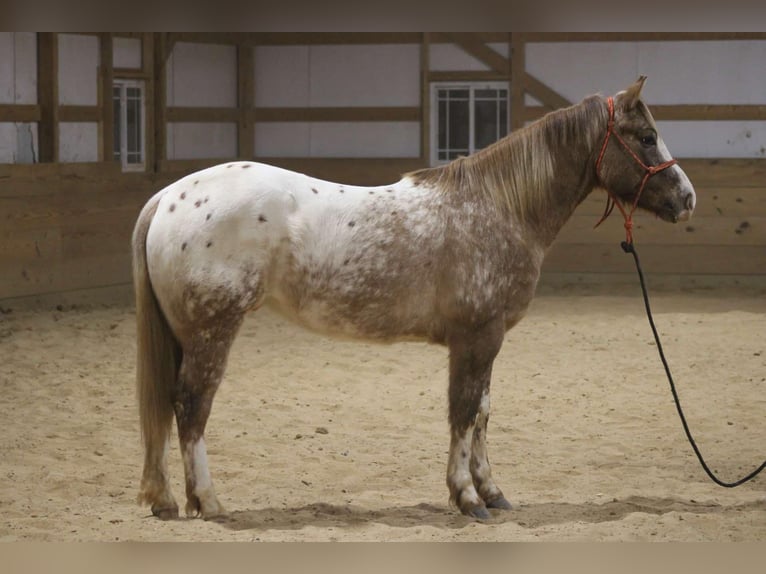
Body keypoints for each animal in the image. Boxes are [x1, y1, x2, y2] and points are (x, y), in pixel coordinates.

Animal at [132, 76, 696, 520]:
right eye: (647, 137)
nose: (686, 197)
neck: (498, 208)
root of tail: (168, 197)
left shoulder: (485, 342)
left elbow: (482, 411)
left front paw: (492, 492)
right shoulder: (477, 339)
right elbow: (464, 413)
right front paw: (467, 498)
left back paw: (166, 500)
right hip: (213, 331)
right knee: (191, 405)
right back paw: (208, 501)